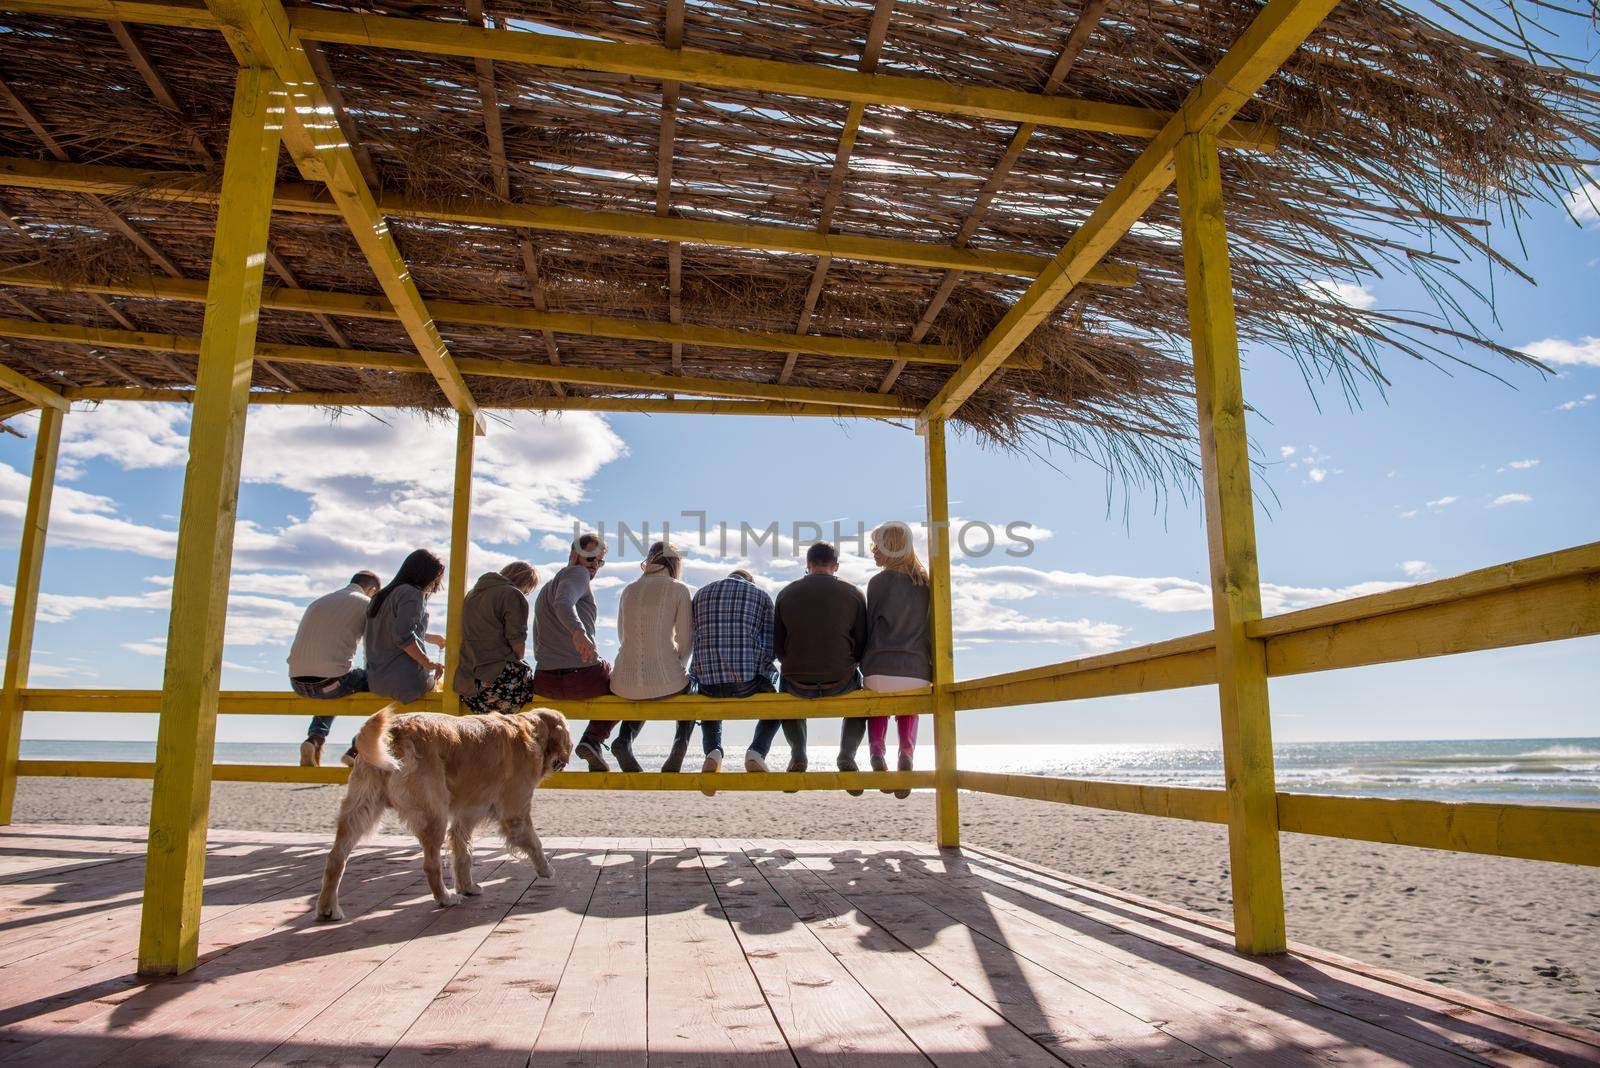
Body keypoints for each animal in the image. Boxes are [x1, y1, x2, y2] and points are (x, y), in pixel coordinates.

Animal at [315, 700, 572, 920]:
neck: (531, 728)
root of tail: (395, 730)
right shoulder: (515, 812)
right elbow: (535, 843)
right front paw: (546, 870)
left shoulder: (466, 817)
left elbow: (463, 854)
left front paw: (468, 887)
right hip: (433, 814)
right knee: (430, 865)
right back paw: (445, 898)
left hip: (360, 809)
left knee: (335, 858)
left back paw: (328, 909)